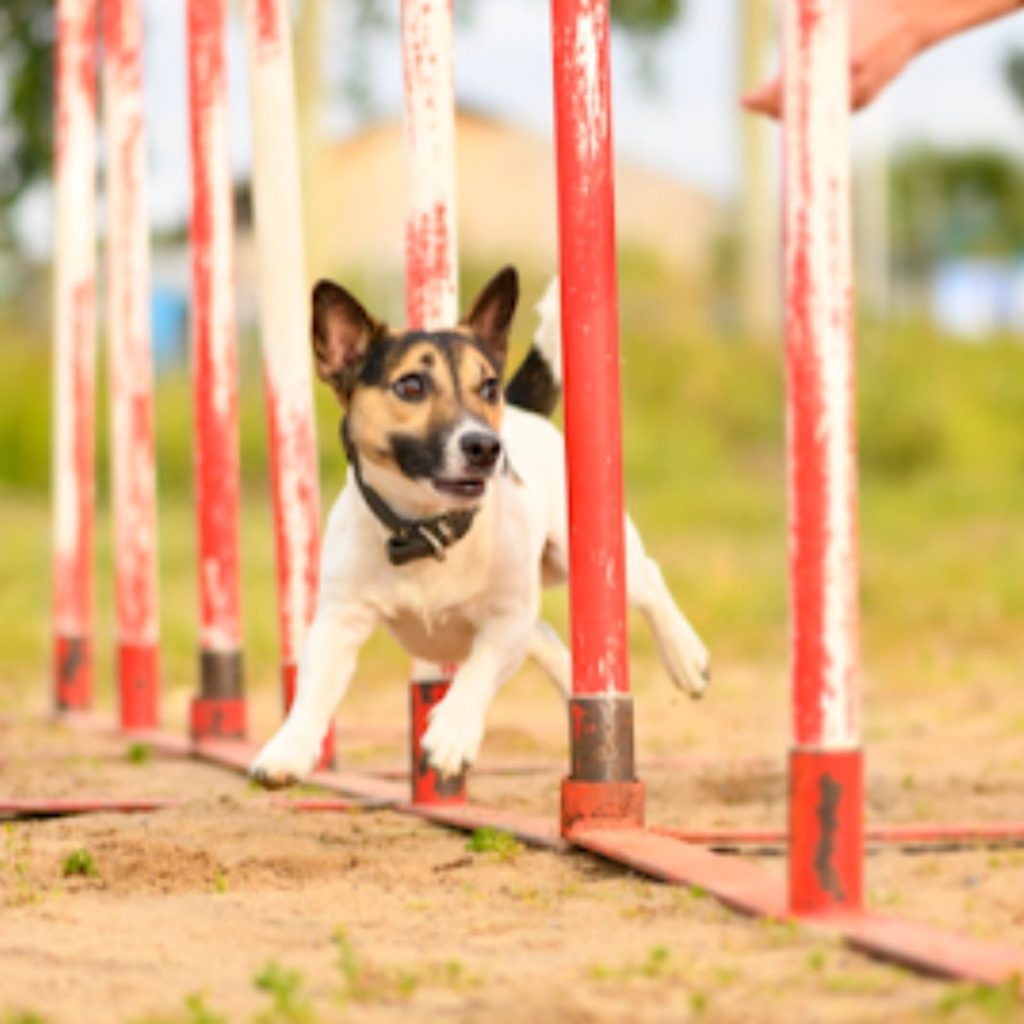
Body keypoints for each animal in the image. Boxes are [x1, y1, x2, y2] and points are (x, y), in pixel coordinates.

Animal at [251, 264, 708, 782]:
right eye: (411, 386)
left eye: (488, 387)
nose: (486, 446)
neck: (427, 531)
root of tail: (524, 411)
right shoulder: (339, 621)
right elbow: (313, 689)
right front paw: (288, 748)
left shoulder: (505, 621)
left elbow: (477, 672)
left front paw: (452, 734)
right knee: (546, 635)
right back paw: (580, 693)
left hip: (577, 557)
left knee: (647, 580)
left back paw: (686, 658)